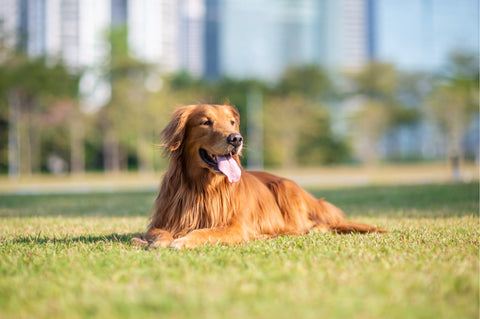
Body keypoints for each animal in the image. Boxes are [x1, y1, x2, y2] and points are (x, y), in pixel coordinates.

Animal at [132, 105, 386, 250]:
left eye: (232, 122)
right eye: (206, 122)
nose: (236, 138)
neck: (202, 187)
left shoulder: (236, 227)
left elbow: (207, 231)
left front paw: (183, 240)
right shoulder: (161, 222)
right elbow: (160, 234)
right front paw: (157, 242)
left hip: (286, 190)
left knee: (312, 225)